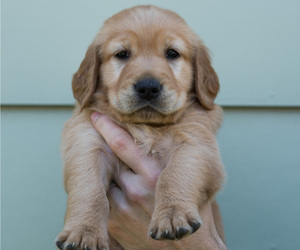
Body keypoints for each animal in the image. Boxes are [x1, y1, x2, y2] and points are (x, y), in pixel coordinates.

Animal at [56, 4, 225, 250]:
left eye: (172, 53)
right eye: (122, 54)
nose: (148, 87)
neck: (145, 125)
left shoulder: (197, 142)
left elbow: (175, 173)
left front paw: (172, 214)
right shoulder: (87, 141)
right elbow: (88, 187)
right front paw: (83, 231)